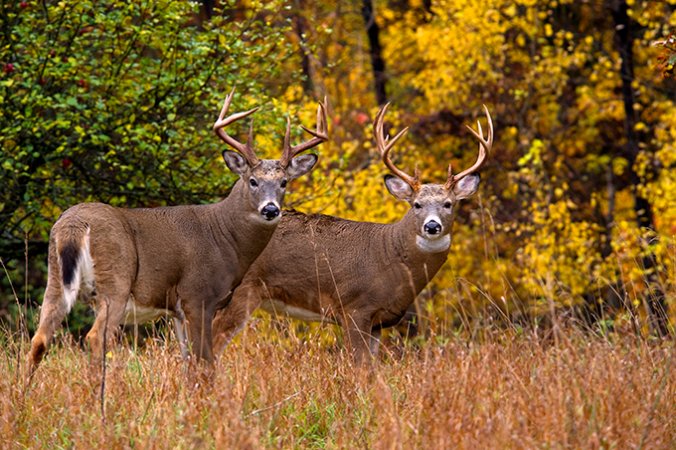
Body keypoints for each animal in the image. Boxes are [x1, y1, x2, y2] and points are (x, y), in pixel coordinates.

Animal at [27, 89, 328, 372]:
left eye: (284, 182)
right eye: (252, 181)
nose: (271, 209)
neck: (225, 235)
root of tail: (74, 224)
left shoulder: (177, 310)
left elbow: (187, 361)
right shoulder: (198, 295)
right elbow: (204, 361)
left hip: (55, 279)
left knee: (39, 339)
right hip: (116, 281)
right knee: (95, 338)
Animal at [211, 103, 492, 362]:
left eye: (449, 204)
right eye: (416, 204)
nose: (432, 226)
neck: (390, 256)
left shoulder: (378, 322)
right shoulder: (355, 308)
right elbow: (360, 368)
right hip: (242, 292)